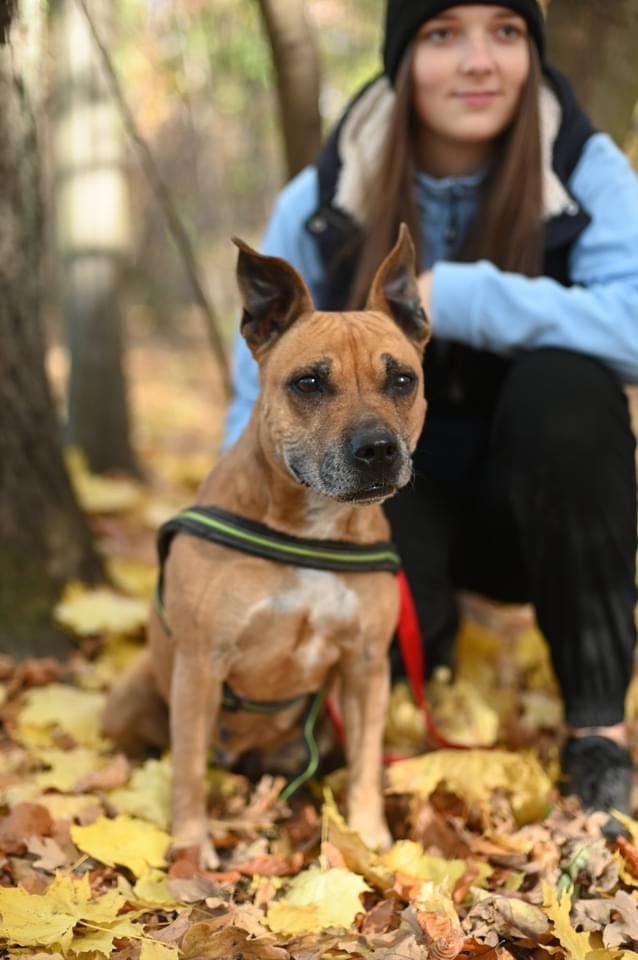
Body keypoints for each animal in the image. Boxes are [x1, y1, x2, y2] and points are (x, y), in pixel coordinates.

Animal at [102, 221, 432, 868]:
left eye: (401, 379)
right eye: (309, 382)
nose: (378, 448)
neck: (311, 529)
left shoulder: (366, 667)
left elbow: (365, 765)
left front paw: (369, 836)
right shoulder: (201, 664)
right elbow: (188, 772)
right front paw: (190, 845)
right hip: (131, 698)